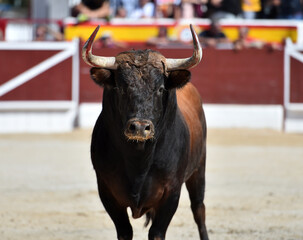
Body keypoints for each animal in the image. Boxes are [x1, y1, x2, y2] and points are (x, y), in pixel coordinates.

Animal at [81, 24, 209, 240]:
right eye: (121, 88)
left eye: (160, 89)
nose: (140, 127)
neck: (138, 159)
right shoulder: (106, 191)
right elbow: (125, 231)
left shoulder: (171, 192)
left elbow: (156, 233)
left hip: (199, 169)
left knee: (199, 209)